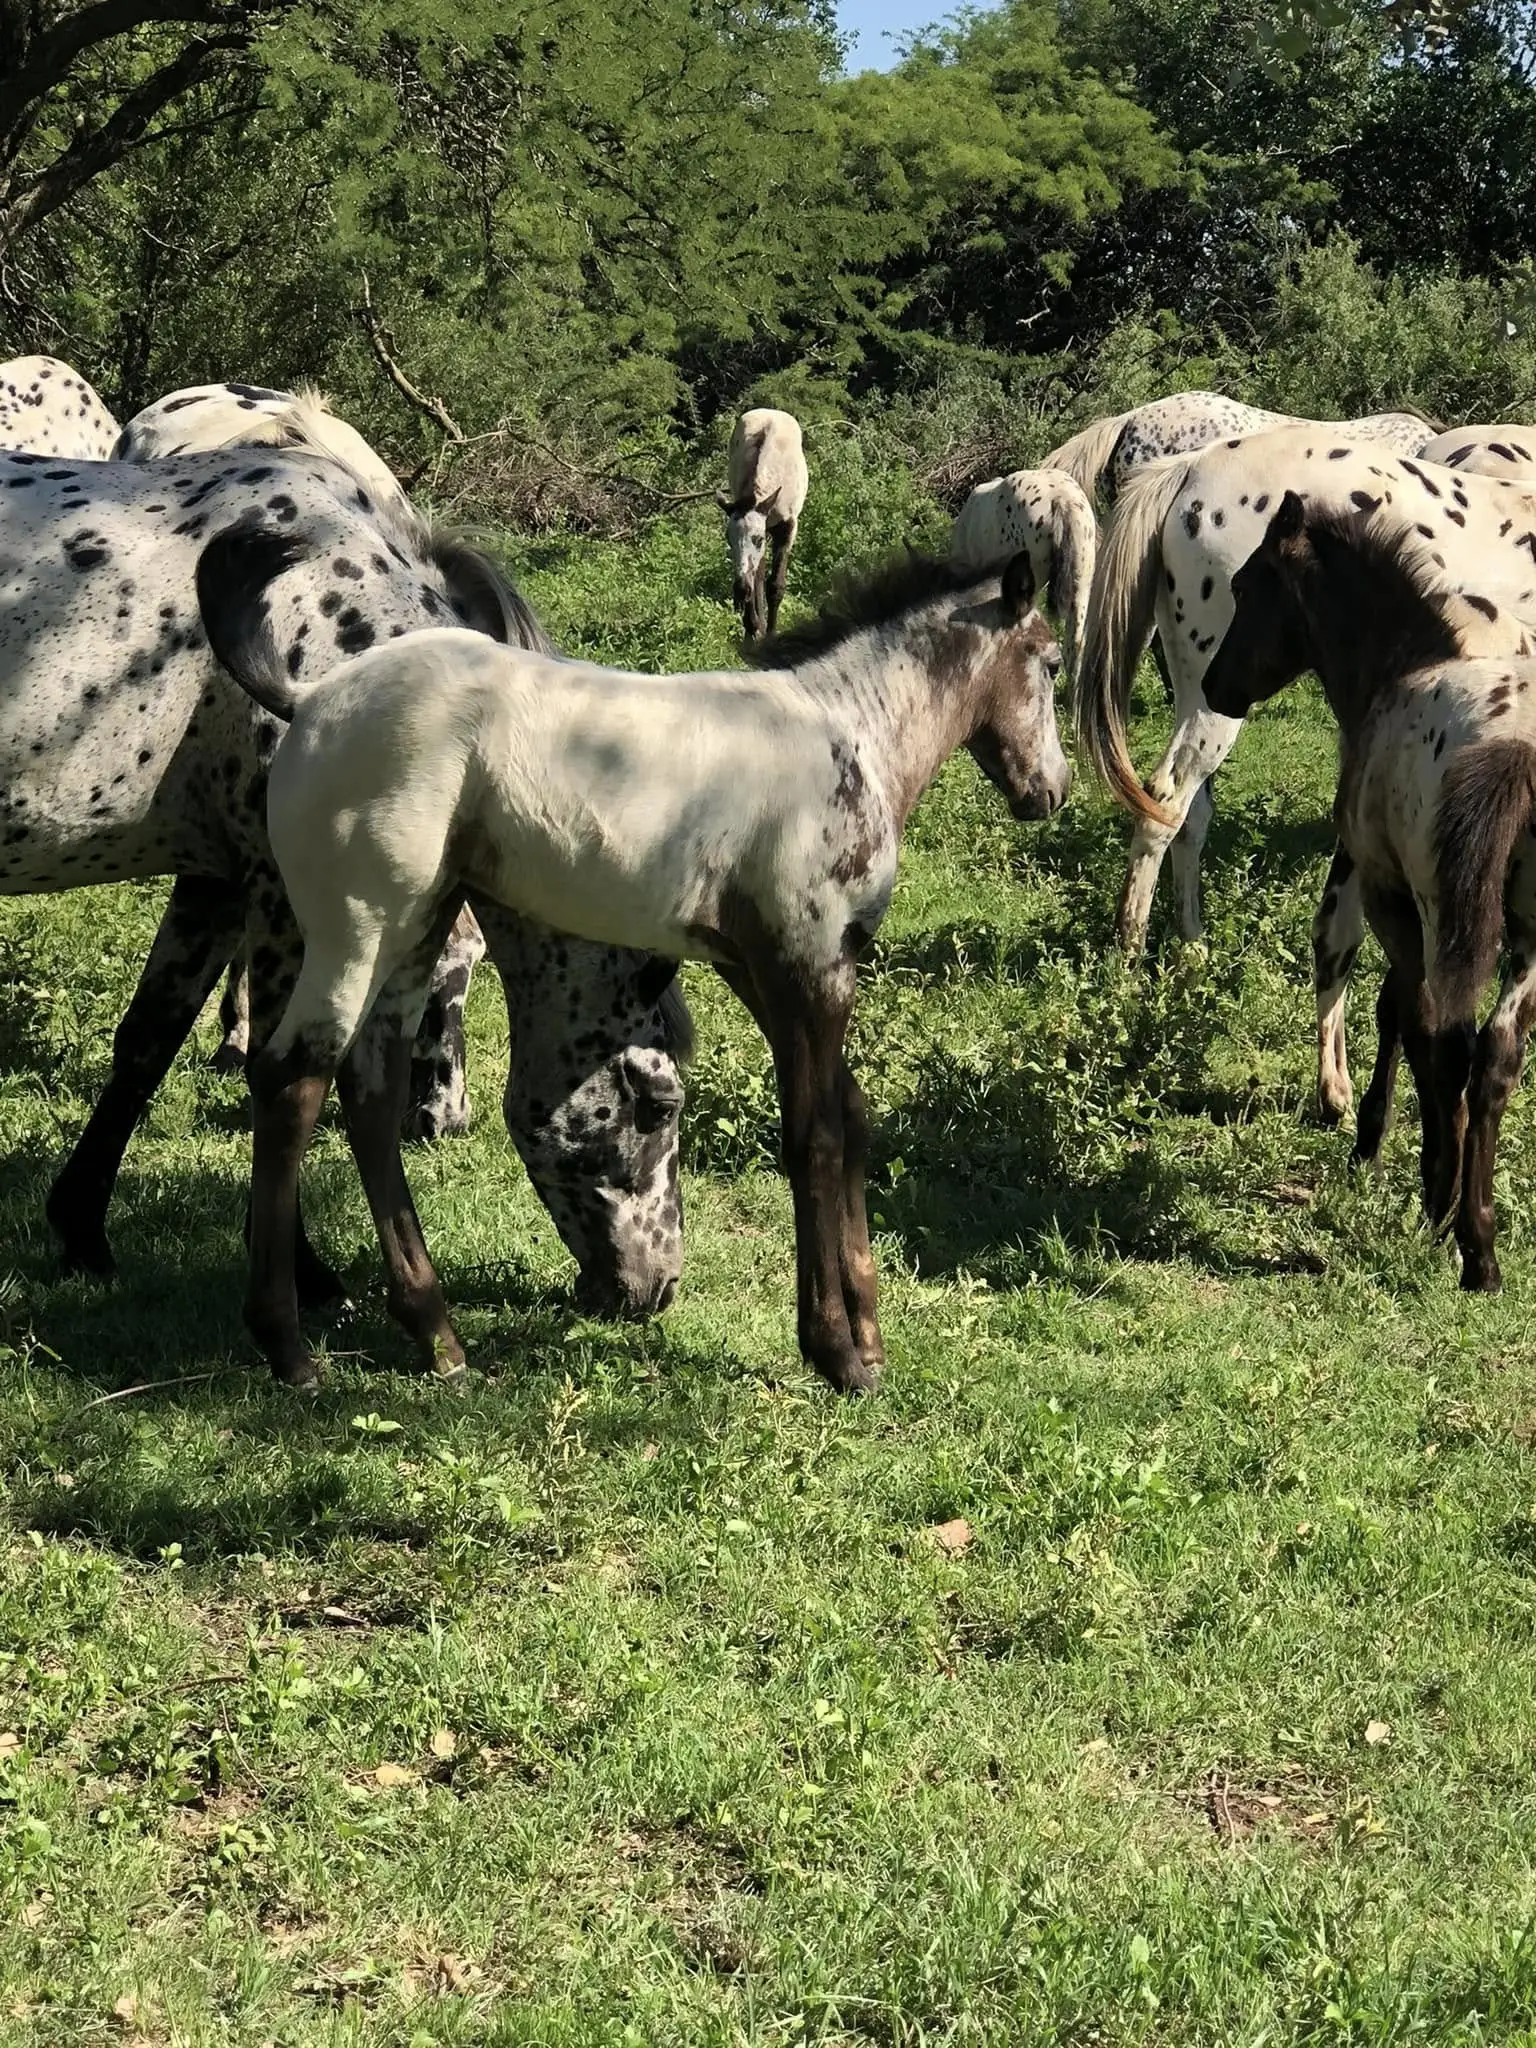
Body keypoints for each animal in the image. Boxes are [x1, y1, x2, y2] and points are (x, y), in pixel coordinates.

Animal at [195, 527, 1070, 1394]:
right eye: (1053, 663)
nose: (1050, 791)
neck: (844, 737)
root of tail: (310, 698)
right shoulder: (810, 961)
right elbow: (814, 1137)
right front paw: (837, 1353)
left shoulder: (760, 967)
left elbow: (848, 1117)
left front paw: (868, 1333)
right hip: (359, 925)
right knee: (292, 1079)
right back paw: (289, 1347)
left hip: (417, 927)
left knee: (370, 1094)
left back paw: (438, 1338)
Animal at [717, 409, 808, 640]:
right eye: (728, 540)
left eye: (757, 539)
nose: (740, 590)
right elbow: (754, 574)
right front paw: (751, 628)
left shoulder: (787, 529)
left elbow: (775, 585)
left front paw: (770, 633)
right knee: (757, 572)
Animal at [1075, 426, 1536, 1120]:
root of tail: (1189, 471)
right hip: (1214, 701)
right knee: (1166, 801)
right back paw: (1128, 961)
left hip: (1200, 694)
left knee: (1189, 816)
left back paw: (1191, 949)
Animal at [1202, 492, 1536, 1294]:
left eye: (1248, 586)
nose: (1214, 688)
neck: (1407, 662)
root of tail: (1514, 746)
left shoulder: (1390, 895)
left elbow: (1405, 1019)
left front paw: (1383, 1149)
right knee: (1498, 1058)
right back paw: (1482, 1249)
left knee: (1457, 1045)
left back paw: (1457, 1228)